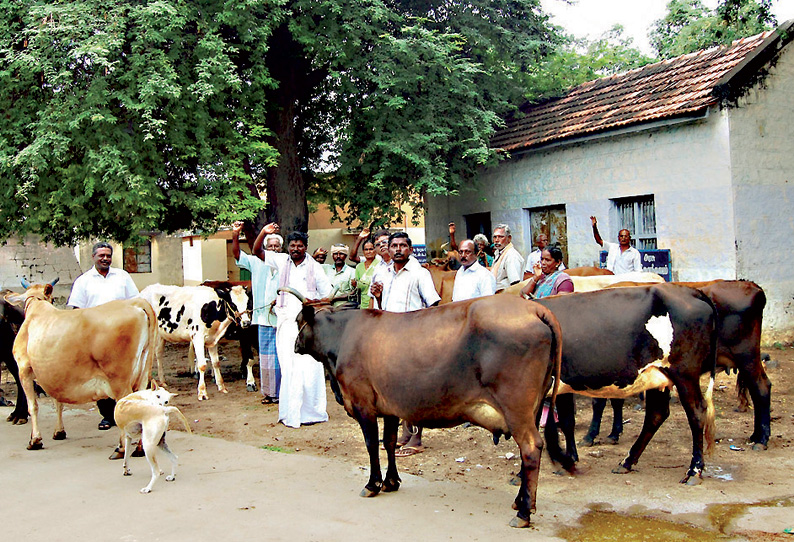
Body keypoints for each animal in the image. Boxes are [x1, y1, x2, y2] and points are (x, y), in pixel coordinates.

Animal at [6, 282, 157, 452]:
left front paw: (35, 440)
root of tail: (135, 303)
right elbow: (58, 402)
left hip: (119, 380)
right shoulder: (54, 374)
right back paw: (140, 448)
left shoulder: (24, 369)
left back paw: (121, 448)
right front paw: (59, 432)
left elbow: (33, 406)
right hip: (143, 371)